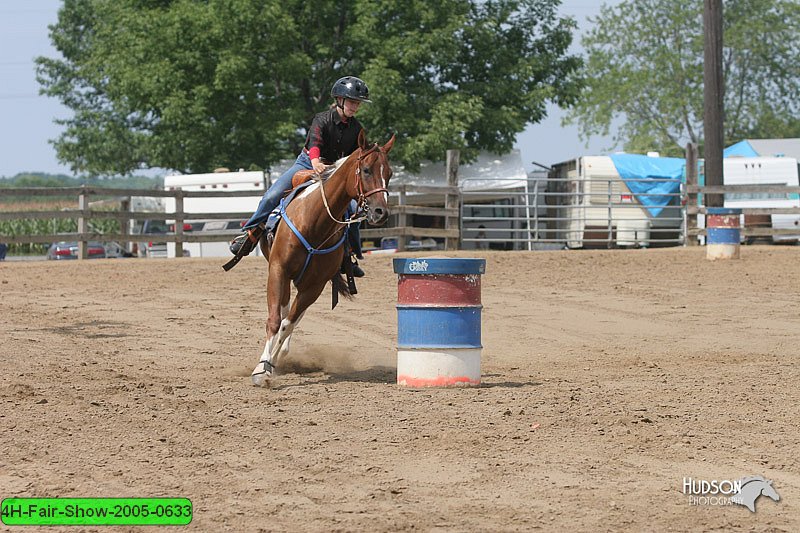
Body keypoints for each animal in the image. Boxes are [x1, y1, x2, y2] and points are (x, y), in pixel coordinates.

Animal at [252, 131, 396, 384]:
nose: (381, 213)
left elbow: (288, 323)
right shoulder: (278, 269)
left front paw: (272, 363)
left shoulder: (315, 285)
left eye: (388, 173)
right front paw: (261, 369)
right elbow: (275, 320)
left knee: (292, 315)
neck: (314, 221)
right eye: (366, 170)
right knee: (284, 308)